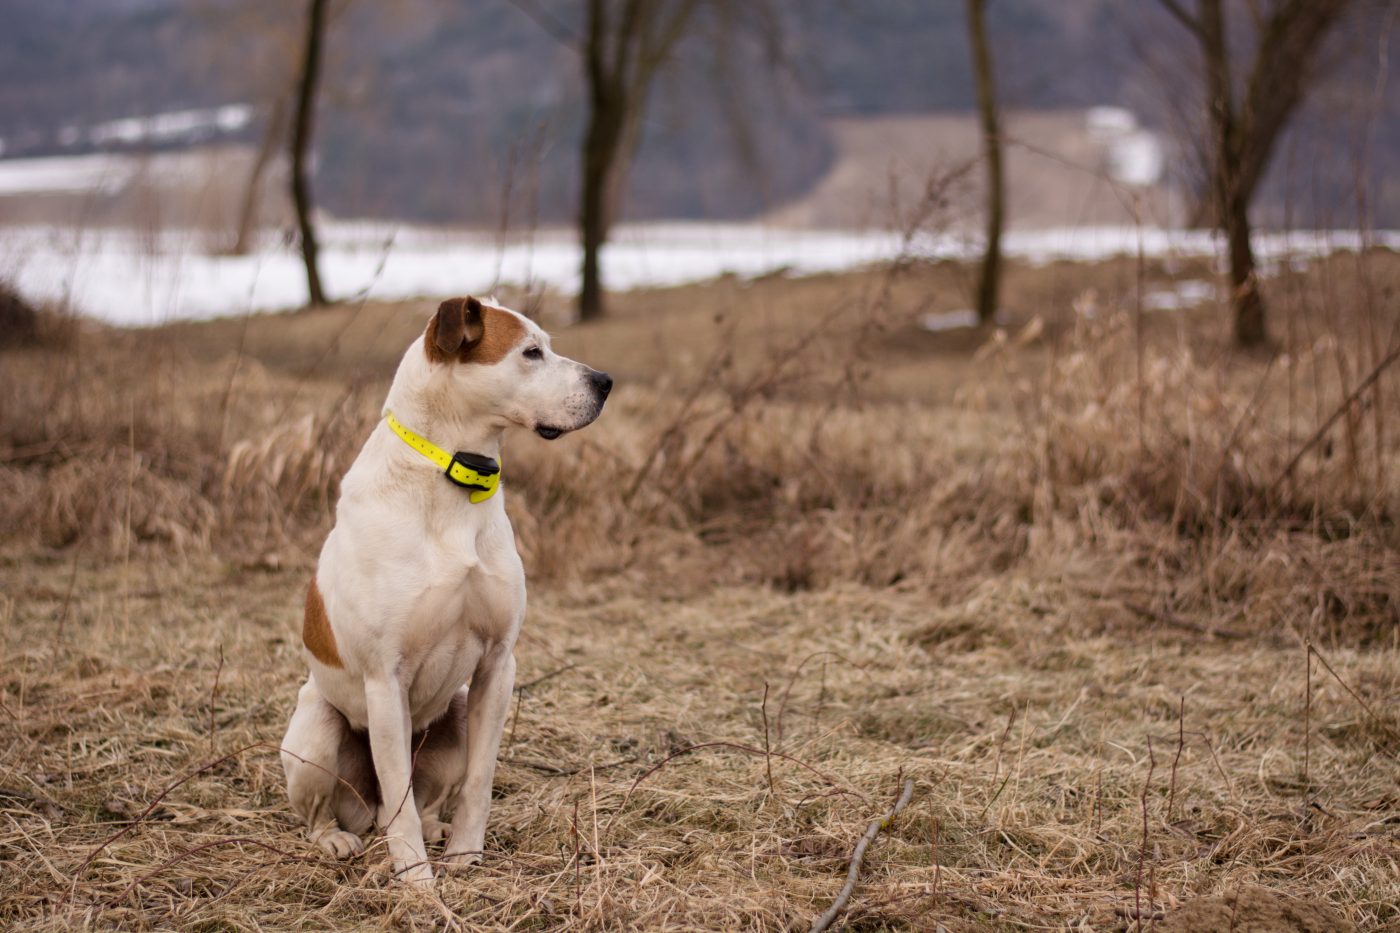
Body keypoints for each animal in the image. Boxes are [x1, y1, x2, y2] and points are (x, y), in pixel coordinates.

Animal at [281, 295, 610, 879]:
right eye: (530, 352)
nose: (606, 382)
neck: (452, 476)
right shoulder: (385, 680)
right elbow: (399, 797)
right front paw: (415, 879)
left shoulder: (498, 665)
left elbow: (478, 781)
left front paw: (464, 855)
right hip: (316, 730)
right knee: (339, 810)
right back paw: (337, 839)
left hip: (453, 717)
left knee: (425, 797)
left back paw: (438, 828)